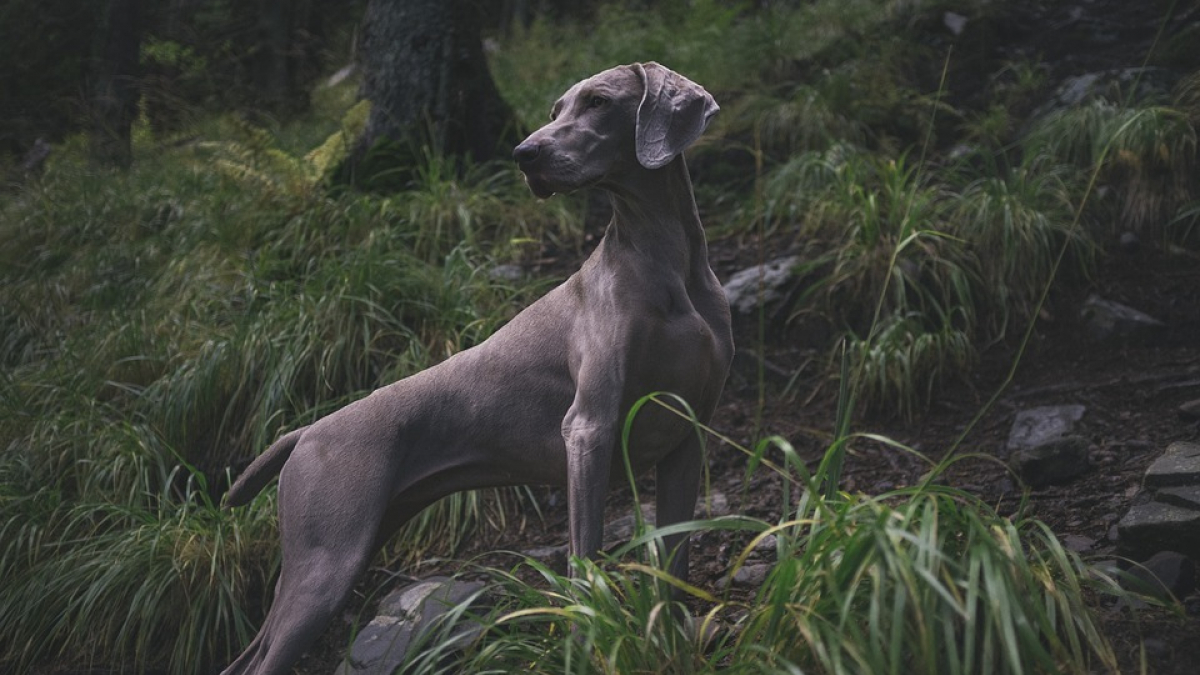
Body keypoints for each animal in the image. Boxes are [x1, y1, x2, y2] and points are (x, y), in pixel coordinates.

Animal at [220, 63, 734, 672]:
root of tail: (303, 432)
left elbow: (675, 564)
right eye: (556, 109)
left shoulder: (687, 437)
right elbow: (583, 563)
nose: (524, 154)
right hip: (324, 564)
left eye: (598, 102)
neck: (665, 258)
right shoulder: (589, 429)